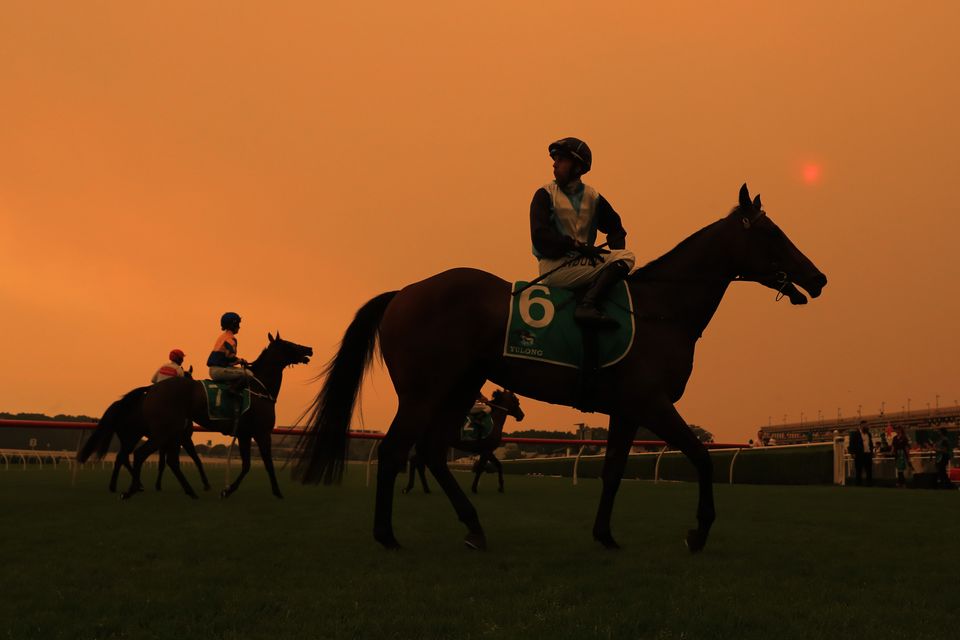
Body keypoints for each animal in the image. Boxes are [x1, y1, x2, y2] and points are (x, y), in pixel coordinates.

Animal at [116, 332, 312, 502]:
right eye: (289, 344)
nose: (309, 349)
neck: (259, 389)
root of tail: (152, 389)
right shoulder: (262, 433)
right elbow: (268, 463)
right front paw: (277, 492)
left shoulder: (244, 435)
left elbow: (247, 465)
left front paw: (227, 490)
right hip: (165, 431)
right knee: (141, 454)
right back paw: (132, 490)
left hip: (170, 432)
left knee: (162, 459)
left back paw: (186, 491)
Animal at [296, 185, 828, 552]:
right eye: (774, 234)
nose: (818, 277)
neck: (660, 309)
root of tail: (404, 292)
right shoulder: (653, 403)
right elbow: (700, 457)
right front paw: (697, 532)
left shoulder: (626, 410)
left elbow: (613, 472)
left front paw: (605, 535)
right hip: (423, 391)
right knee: (394, 452)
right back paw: (387, 535)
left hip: (459, 386)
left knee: (429, 451)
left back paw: (473, 527)